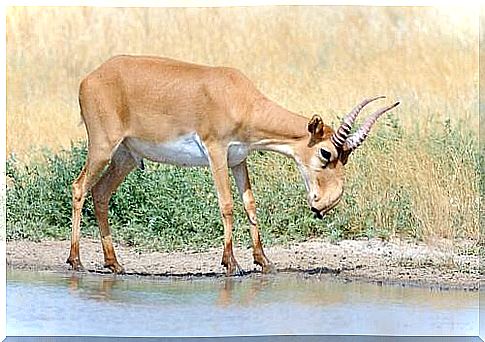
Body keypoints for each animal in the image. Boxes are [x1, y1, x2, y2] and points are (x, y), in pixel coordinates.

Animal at [66, 55, 398, 276]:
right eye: (326, 153)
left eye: (346, 157)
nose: (323, 205)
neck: (239, 98)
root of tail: (90, 78)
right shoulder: (216, 152)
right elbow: (226, 204)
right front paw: (231, 263)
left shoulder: (239, 159)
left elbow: (250, 204)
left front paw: (264, 261)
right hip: (103, 148)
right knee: (79, 187)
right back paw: (76, 261)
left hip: (126, 156)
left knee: (101, 193)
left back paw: (114, 263)